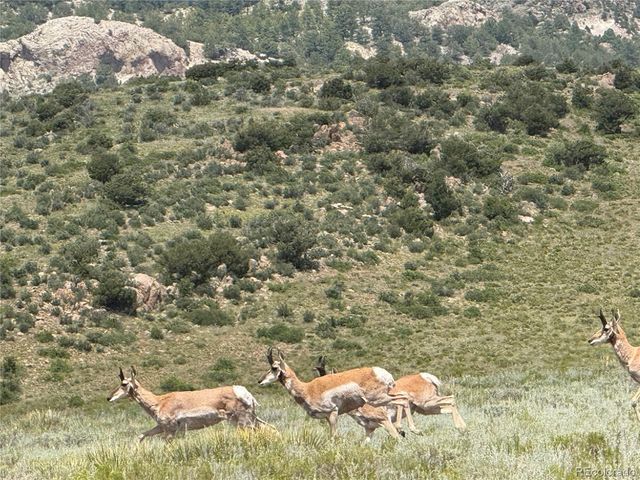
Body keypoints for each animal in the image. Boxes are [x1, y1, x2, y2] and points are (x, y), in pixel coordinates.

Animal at [108, 366, 272, 441]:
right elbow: (141, 435)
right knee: (269, 428)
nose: (108, 397)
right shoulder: (162, 427)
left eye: (123, 383)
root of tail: (244, 391)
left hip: (243, 421)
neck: (160, 401)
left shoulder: (170, 430)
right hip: (248, 420)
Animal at [258, 348, 404, 439]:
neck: (307, 388)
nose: (259, 381)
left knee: (402, 400)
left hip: (378, 400)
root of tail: (383, 373)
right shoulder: (327, 417)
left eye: (274, 367)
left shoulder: (333, 413)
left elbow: (334, 436)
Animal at [314, 356, 466, 440]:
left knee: (451, 399)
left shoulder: (385, 420)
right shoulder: (369, 430)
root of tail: (424, 376)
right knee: (449, 405)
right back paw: (462, 428)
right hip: (426, 409)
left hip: (426, 403)